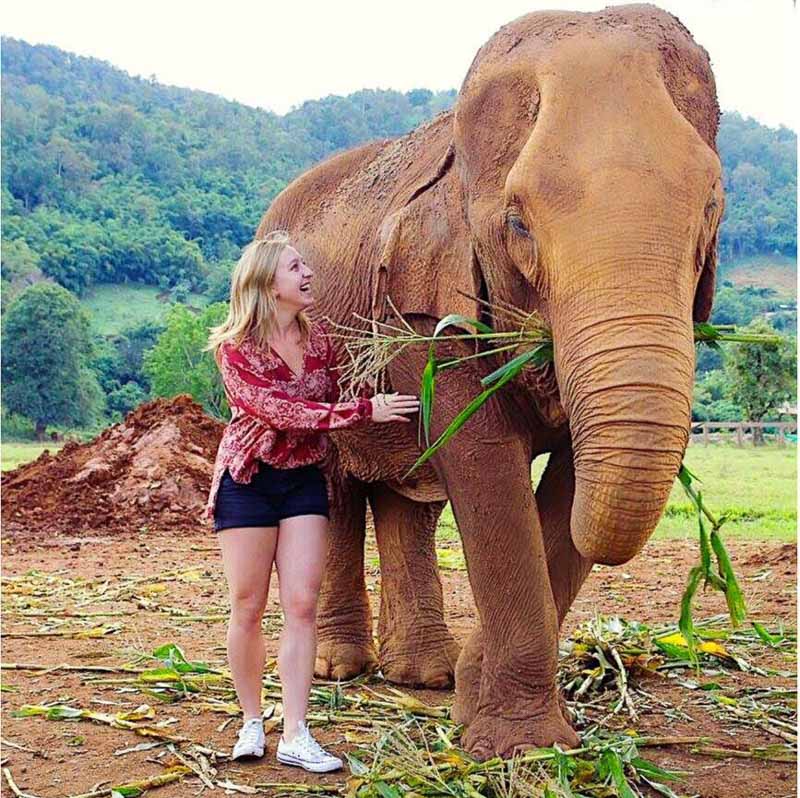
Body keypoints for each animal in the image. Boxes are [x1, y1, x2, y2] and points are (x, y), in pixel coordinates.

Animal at [256, 3, 724, 760]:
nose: (471, 682)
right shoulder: (425, 305)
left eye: (711, 207)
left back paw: (424, 674)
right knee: (332, 487)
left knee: (408, 496)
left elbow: (566, 481)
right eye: (517, 223)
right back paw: (339, 668)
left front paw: (478, 700)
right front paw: (518, 747)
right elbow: (484, 466)